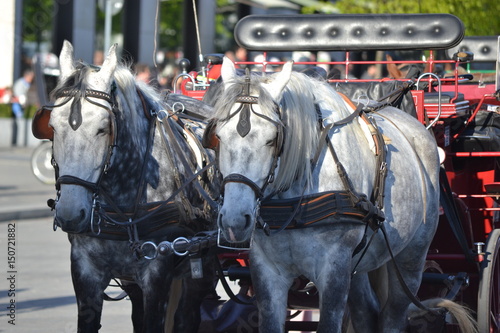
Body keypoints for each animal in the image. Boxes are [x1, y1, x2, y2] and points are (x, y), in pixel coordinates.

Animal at [35, 41, 215, 332]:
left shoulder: (157, 270)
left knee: (187, 317)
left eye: (102, 128)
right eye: (51, 126)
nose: (70, 214)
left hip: (203, 265)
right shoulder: (85, 270)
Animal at [207, 58, 442, 330]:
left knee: (393, 316)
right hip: (358, 264)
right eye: (218, 136)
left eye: (272, 139)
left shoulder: (334, 268)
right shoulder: (266, 271)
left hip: (411, 259)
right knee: (366, 312)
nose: (234, 220)